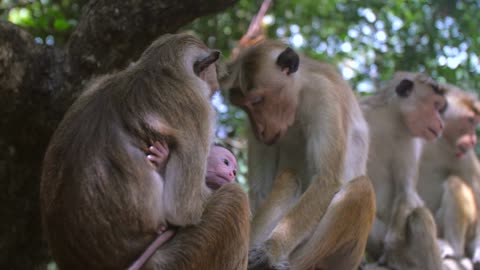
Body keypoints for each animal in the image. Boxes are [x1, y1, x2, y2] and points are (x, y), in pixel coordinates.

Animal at [40, 34, 251, 270]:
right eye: (226, 163)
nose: (232, 173)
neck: (155, 69)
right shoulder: (198, 108)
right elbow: (183, 210)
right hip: (175, 262)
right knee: (235, 198)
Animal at [223, 40, 376, 270]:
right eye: (244, 107)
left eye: (257, 100)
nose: (260, 131)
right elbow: (262, 190)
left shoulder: (324, 96)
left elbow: (326, 181)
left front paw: (271, 250)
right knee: (287, 178)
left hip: (342, 257)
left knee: (361, 189)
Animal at [362, 71, 448, 270]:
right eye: (435, 105)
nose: (441, 124)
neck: (390, 120)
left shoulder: (410, 141)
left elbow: (406, 191)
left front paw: (392, 248)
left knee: (419, 215)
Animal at [418, 86, 480, 268]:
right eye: (470, 120)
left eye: (475, 122)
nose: (473, 140)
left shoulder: (465, 157)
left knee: (455, 183)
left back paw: (453, 248)